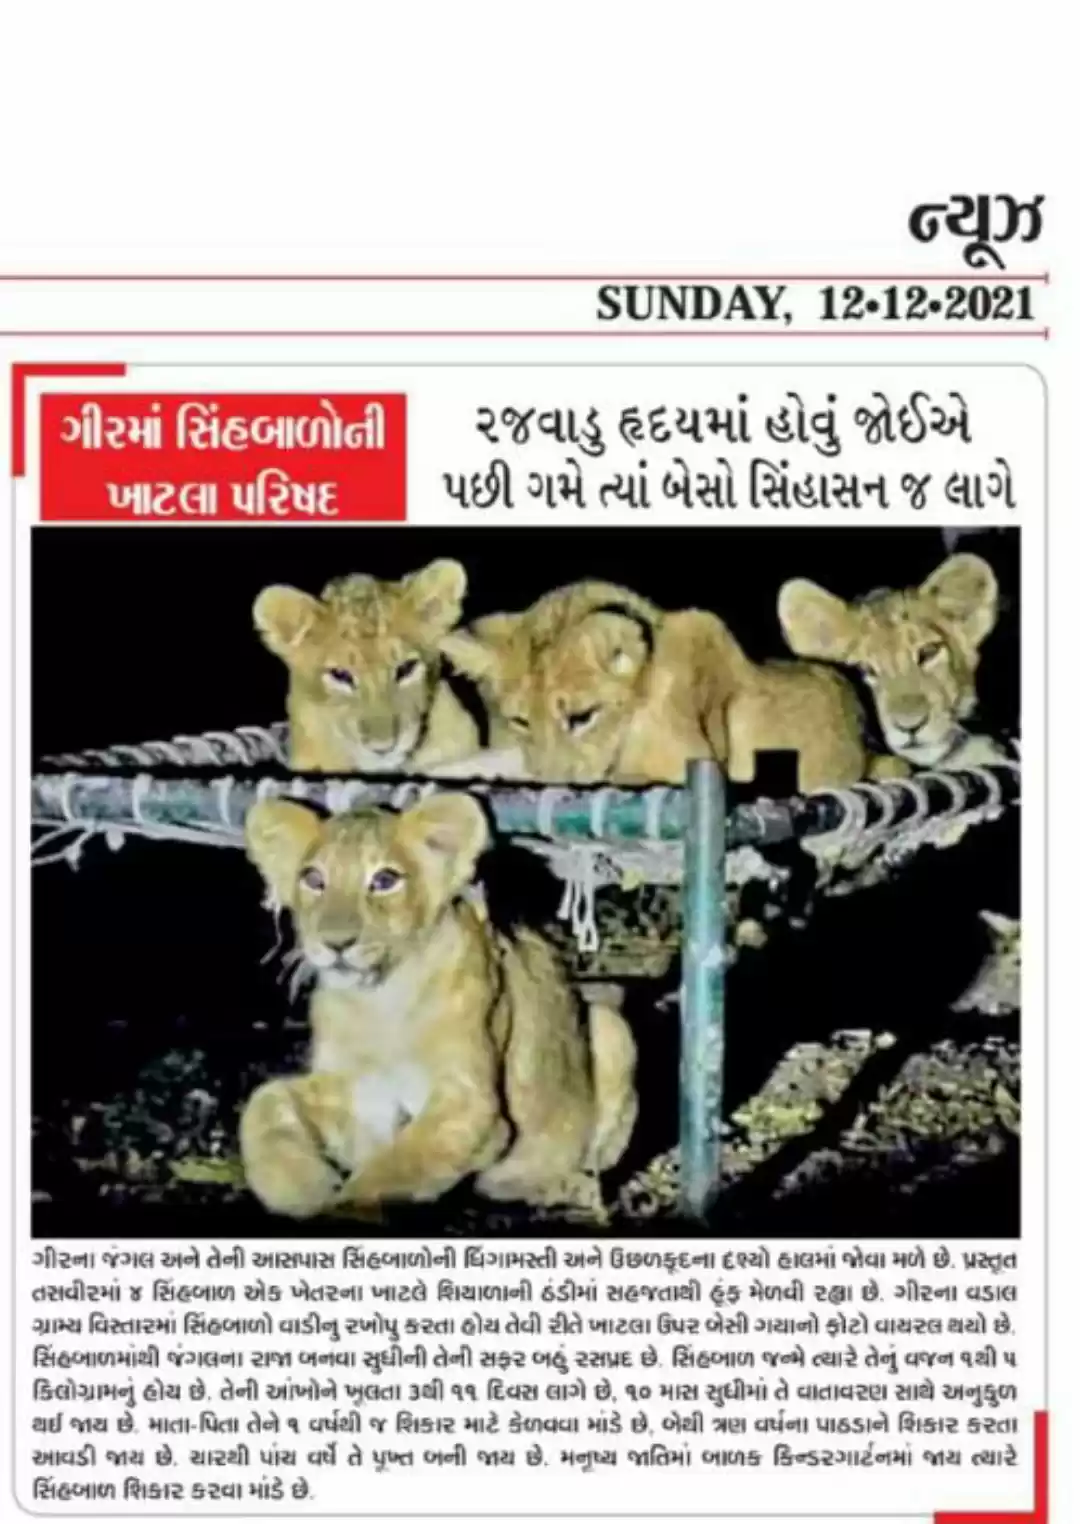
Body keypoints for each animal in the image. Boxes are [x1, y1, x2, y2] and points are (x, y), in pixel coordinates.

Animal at [238, 791, 638, 1221]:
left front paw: (344, 1210)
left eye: (384, 881)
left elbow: (399, 1164)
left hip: (611, 1027)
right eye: (313, 879)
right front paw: (298, 1189)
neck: (378, 1001)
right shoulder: (359, 1100)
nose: (336, 943)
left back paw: (562, 1187)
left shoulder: (468, 1103)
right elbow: (265, 1100)